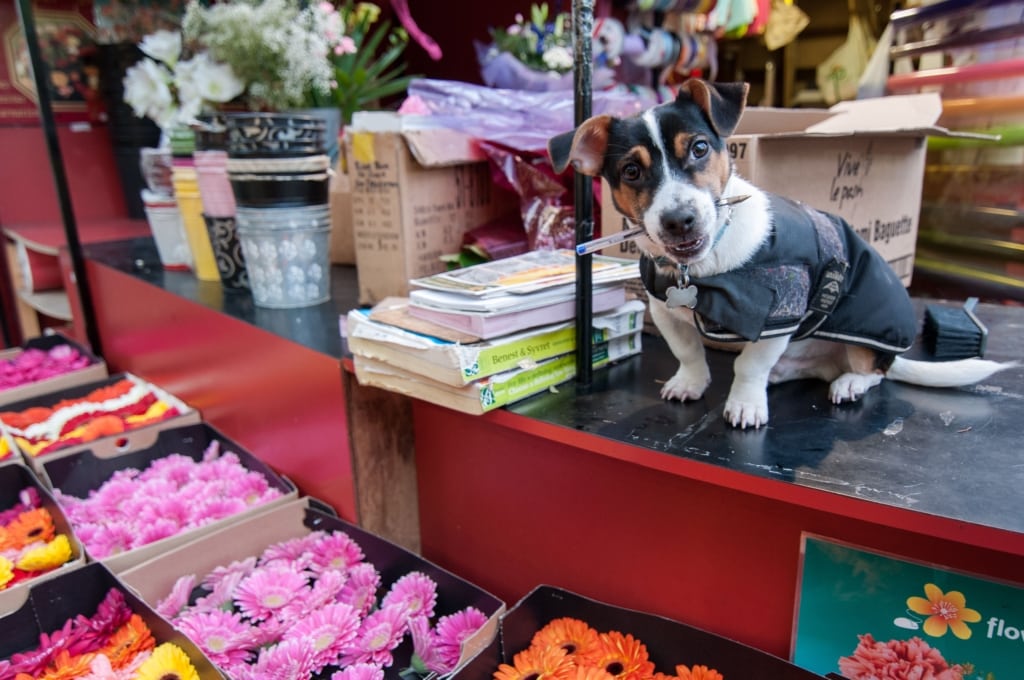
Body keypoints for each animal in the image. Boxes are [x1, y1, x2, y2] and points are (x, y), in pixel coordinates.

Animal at [548, 78, 1011, 430]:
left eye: (699, 148)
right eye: (631, 171)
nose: (680, 221)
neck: (701, 268)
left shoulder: (777, 317)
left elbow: (749, 367)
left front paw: (745, 405)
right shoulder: (666, 313)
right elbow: (690, 353)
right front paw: (691, 383)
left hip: (865, 343)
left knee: (874, 373)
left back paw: (848, 384)